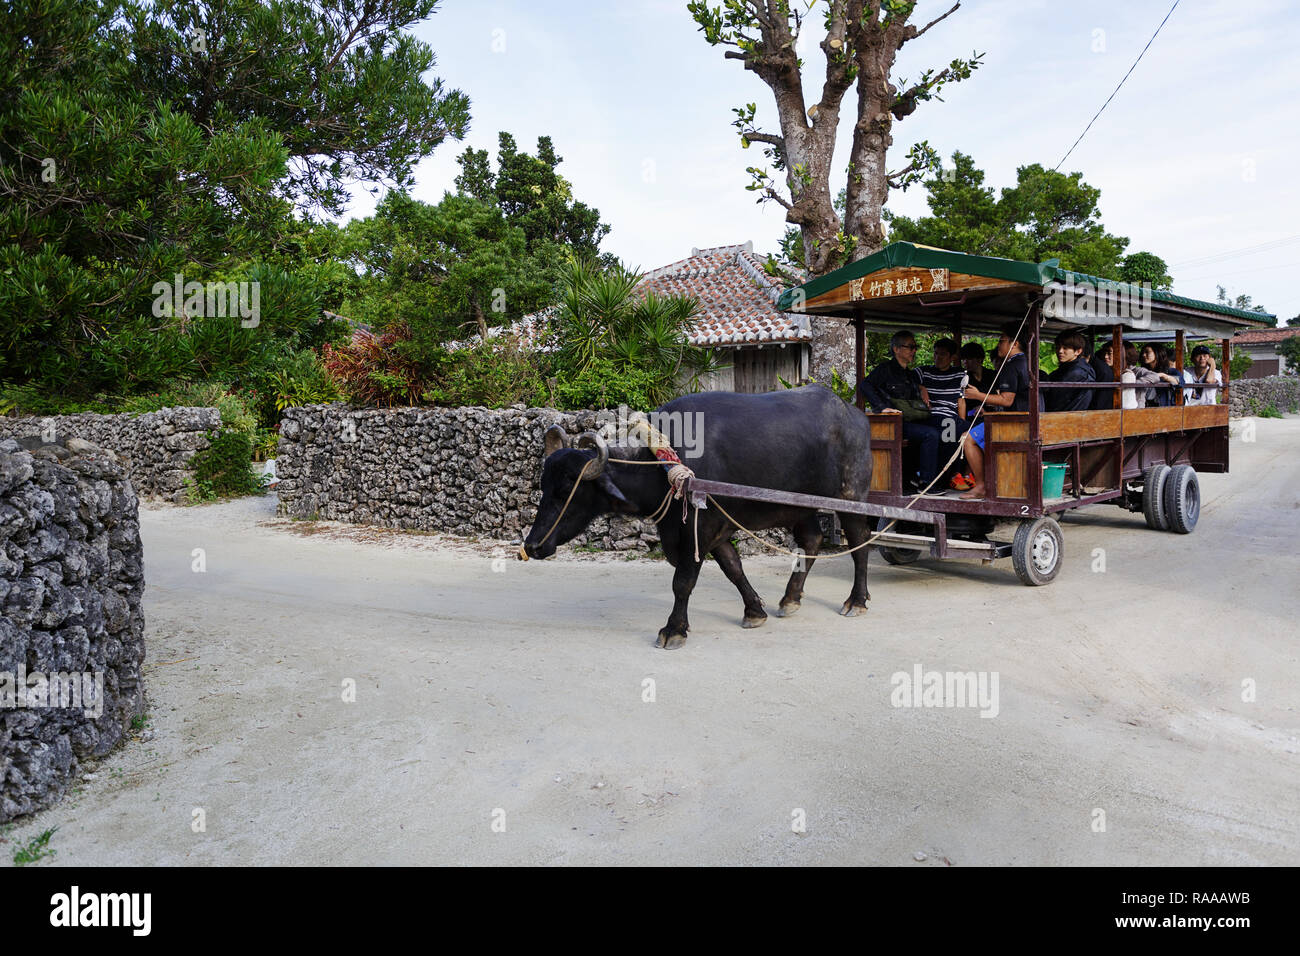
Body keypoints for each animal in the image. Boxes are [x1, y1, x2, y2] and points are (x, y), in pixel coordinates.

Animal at [517, 387, 873, 650]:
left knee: (860, 545)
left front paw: (673, 629)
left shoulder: (699, 528)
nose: (532, 546)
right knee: (811, 541)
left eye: (567, 489)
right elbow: (733, 568)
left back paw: (856, 601)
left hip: (851, 498)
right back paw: (790, 598)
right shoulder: (711, 530)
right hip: (799, 507)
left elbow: (683, 581)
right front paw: (754, 611)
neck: (664, 464)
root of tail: (855, 415)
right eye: (543, 485)